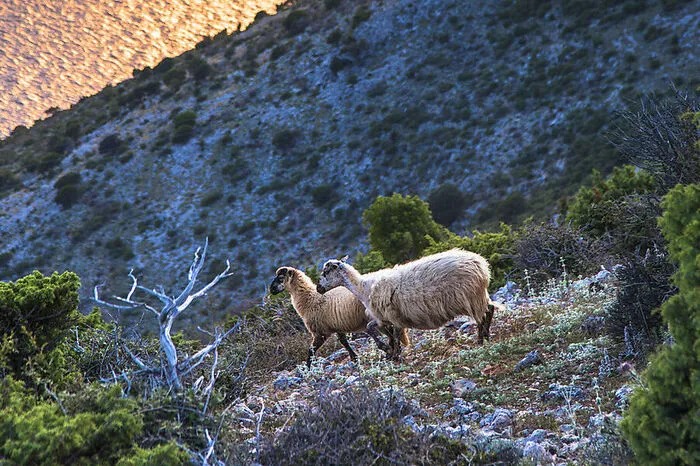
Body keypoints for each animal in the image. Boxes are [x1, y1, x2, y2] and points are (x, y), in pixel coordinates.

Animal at [269, 266, 408, 367]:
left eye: (280, 278)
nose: (271, 290)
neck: (310, 298)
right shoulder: (336, 327)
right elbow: (344, 342)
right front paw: (354, 357)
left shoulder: (320, 332)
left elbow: (311, 350)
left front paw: (307, 368)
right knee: (393, 332)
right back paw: (393, 351)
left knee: (391, 332)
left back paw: (390, 350)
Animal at [317, 249, 499, 360]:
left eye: (325, 272)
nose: (318, 288)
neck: (363, 287)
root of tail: (481, 265)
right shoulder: (383, 318)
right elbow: (374, 329)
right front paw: (390, 351)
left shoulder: (392, 316)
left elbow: (392, 335)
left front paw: (393, 352)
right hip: (478, 294)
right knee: (489, 309)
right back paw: (485, 337)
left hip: (470, 295)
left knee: (483, 315)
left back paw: (481, 339)